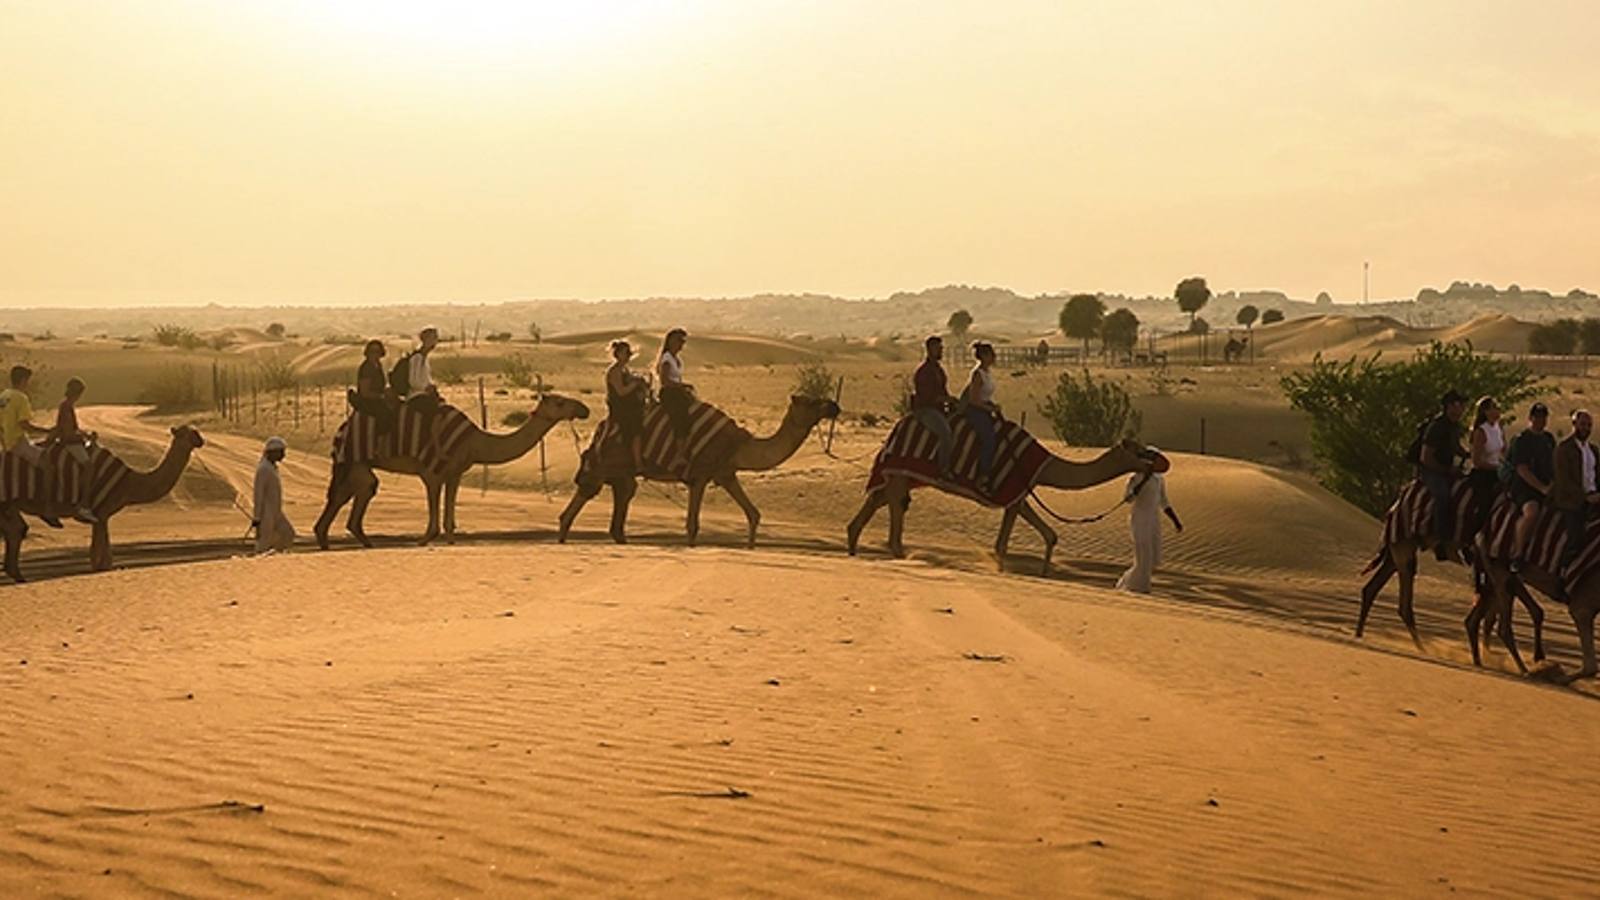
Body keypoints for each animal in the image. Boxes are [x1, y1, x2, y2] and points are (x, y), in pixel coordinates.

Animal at [1, 425, 206, 582]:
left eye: (195, 431)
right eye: (189, 433)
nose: (201, 440)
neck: (128, 483)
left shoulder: (101, 515)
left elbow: (100, 554)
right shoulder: (102, 511)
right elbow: (102, 557)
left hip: (8, 503)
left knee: (16, 529)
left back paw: (17, 574)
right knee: (15, 529)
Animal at [313, 394, 590, 549]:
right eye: (560, 402)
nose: (584, 409)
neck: (475, 442)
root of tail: (343, 426)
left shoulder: (454, 473)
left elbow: (449, 512)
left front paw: (450, 540)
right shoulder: (432, 471)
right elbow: (436, 509)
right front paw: (424, 540)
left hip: (354, 464)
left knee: (351, 491)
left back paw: (338, 539)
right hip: (354, 461)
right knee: (356, 489)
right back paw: (334, 539)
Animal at [557, 395, 840, 547]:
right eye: (812, 401)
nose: (834, 406)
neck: (737, 445)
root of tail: (602, 426)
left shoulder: (725, 473)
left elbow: (753, 513)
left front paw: (751, 547)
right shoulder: (701, 474)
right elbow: (693, 524)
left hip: (623, 470)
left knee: (623, 495)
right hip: (605, 462)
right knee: (588, 488)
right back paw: (562, 535)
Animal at [845, 438, 1163, 573]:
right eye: (1138, 451)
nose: (1160, 460)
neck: (1044, 466)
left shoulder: (1018, 496)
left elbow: (1046, 535)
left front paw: (1044, 572)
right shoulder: (1016, 490)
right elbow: (1005, 544)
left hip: (904, 475)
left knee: (877, 498)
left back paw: (853, 549)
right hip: (903, 472)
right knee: (895, 504)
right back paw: (902, 555)